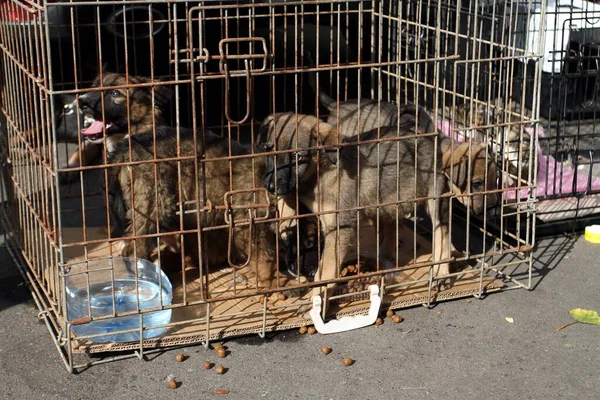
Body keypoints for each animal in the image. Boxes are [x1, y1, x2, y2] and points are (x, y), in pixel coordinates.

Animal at [255, 109, 452, 300]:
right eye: (267, 149)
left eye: (297, 156)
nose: (268, 185)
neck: (318, 176)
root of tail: (423, 133)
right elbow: (287, 197)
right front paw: (286, 218)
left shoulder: (339, 229)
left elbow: (326, 269)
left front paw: (317, 296)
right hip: (385, 200)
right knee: (393, 226)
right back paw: (385, 256)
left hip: (435, 195)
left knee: (442, 234)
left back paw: (441, 273)